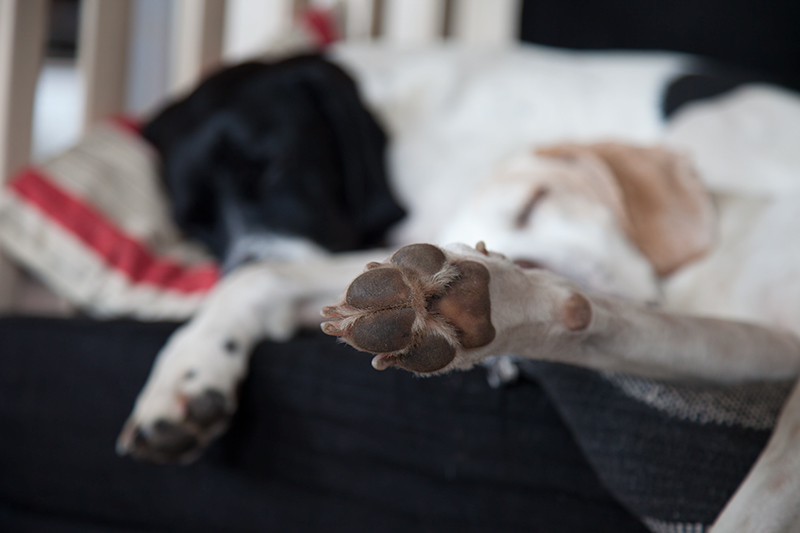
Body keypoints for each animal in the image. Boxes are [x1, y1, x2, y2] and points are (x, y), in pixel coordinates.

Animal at [116, 44, 800, 531]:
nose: (515, 260)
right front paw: (186, 375)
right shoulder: (386, 270)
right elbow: (273, 280)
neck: (398, 121)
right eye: (193, 221)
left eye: (273, 165)